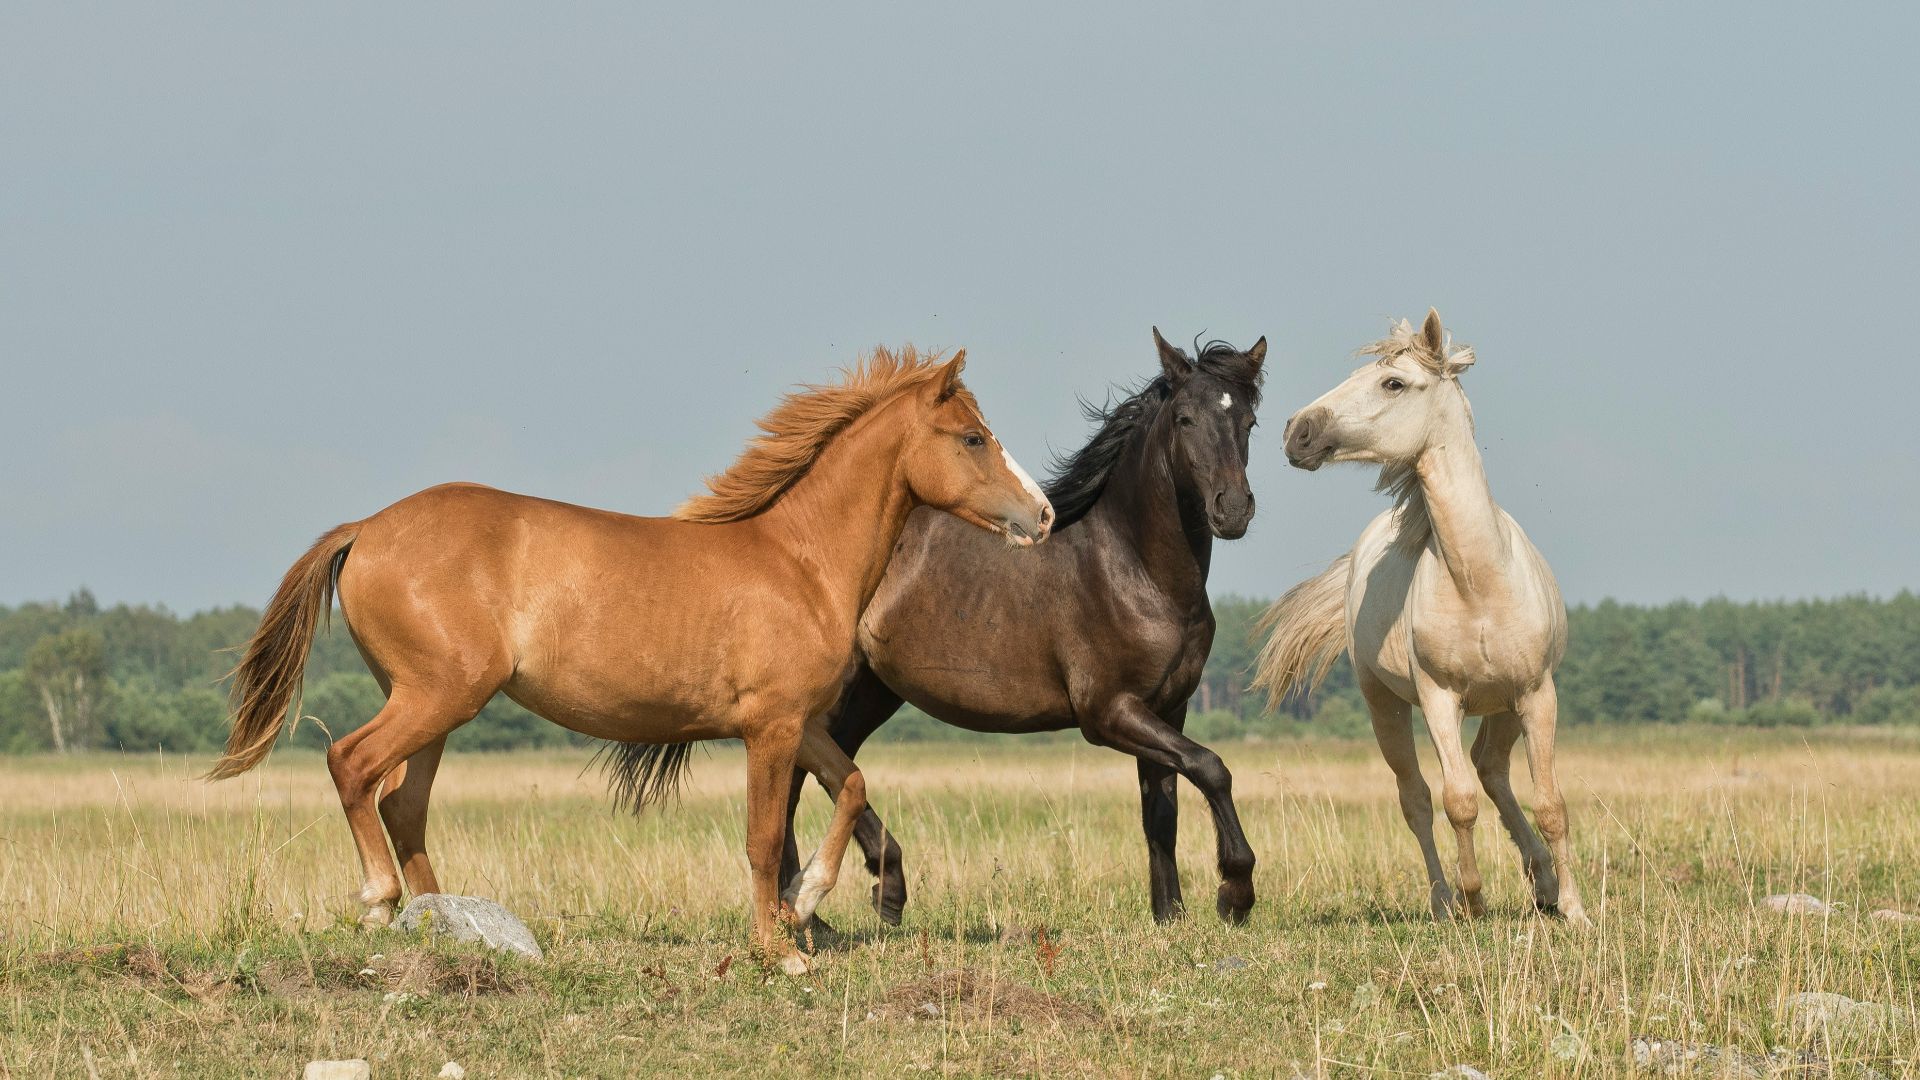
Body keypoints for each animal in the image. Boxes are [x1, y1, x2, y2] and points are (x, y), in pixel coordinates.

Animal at [206, 348, 1054, 974]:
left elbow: (850, 786)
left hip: (434, 706)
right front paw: (778, 949)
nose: (1042, 515)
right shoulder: (770, 728)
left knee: (401, 803)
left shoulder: (801, 722)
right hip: (436, 696)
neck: (799, 561)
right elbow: (761, 837)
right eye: (972, 437)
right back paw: (381, 904)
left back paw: (446, 924)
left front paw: (805, 901)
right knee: (352, 765)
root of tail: (367, 528)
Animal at [773, 330, 1269, 926]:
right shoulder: (1109, 712)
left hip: (873, 691)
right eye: (1185, 419)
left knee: (826, 771)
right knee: (797, 778)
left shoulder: (1168, 707)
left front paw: (1170, 915)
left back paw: (854, 898)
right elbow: (1211, 767)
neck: (1136, 570)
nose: (1233, 509)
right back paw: (824, 905)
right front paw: (1235, 892)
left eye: (1248, 422)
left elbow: (1162, 812)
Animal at [1251, 310, 1588, 926]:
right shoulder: (1438, 699)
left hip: (1506, 705)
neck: (1479, 583)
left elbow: (1551, 802)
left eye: (1393, 383)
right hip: (1384, 704)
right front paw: (1474, 900)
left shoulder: (1537, 694)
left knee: (1492, 769)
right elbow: (1457, 801)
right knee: (1419, 799)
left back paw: (1544, 884)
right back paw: (1444, 899)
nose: (1296, 431)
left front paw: (1575, 910)